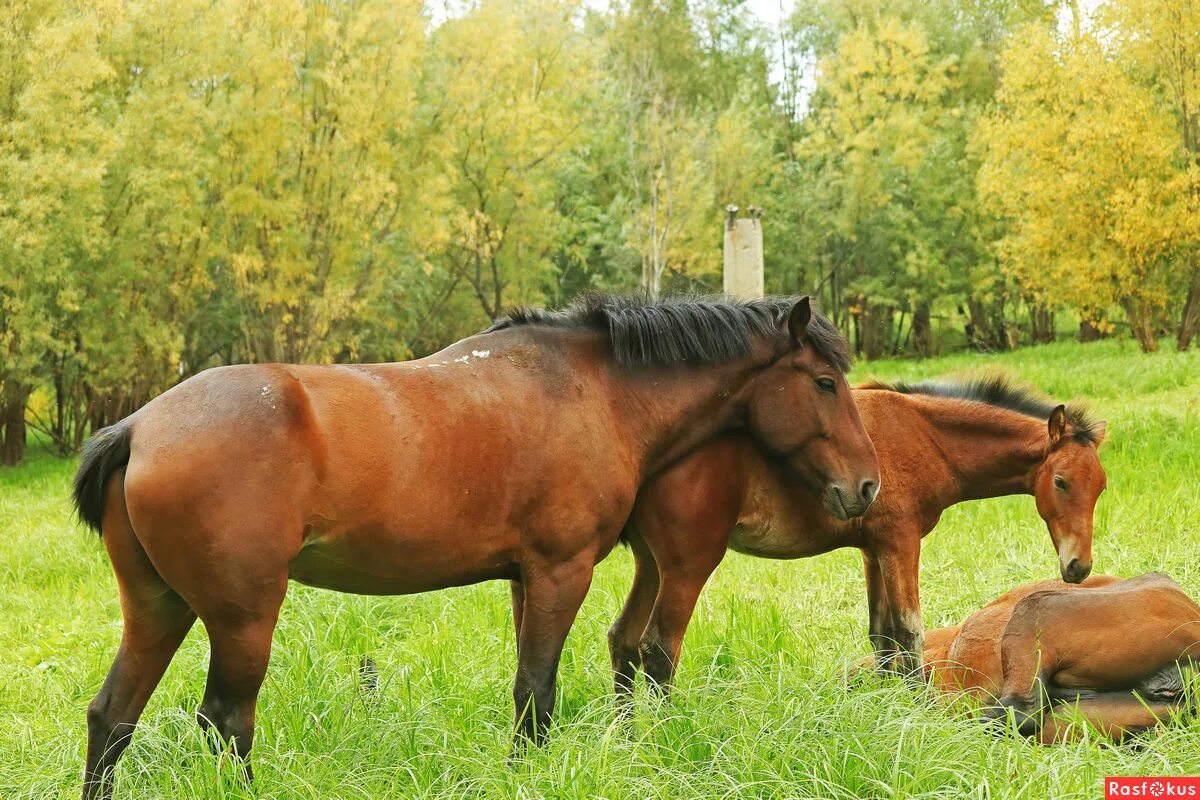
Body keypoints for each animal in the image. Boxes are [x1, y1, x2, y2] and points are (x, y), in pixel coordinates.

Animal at [75, 293, 883, 800]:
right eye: (823, 382)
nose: (866, 486)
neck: (594, 389)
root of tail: (139, 427)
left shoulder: (524, 579)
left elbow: (528, 692)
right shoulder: (561, 572)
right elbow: (538, 692)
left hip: (160, 608)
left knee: (113, 717)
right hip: (242, 618)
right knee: (226, 722)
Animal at [609, 376, 1104, 695]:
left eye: (1100, 486)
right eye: (1061, 482)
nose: (1078, 568)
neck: (924, 434)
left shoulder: (873, 549)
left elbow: (882, 636)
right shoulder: (901, 541)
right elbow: (909, 631)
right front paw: (917, 710)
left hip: (651, 565)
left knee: (624, 640)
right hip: (688, 566)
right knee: (659, 650)